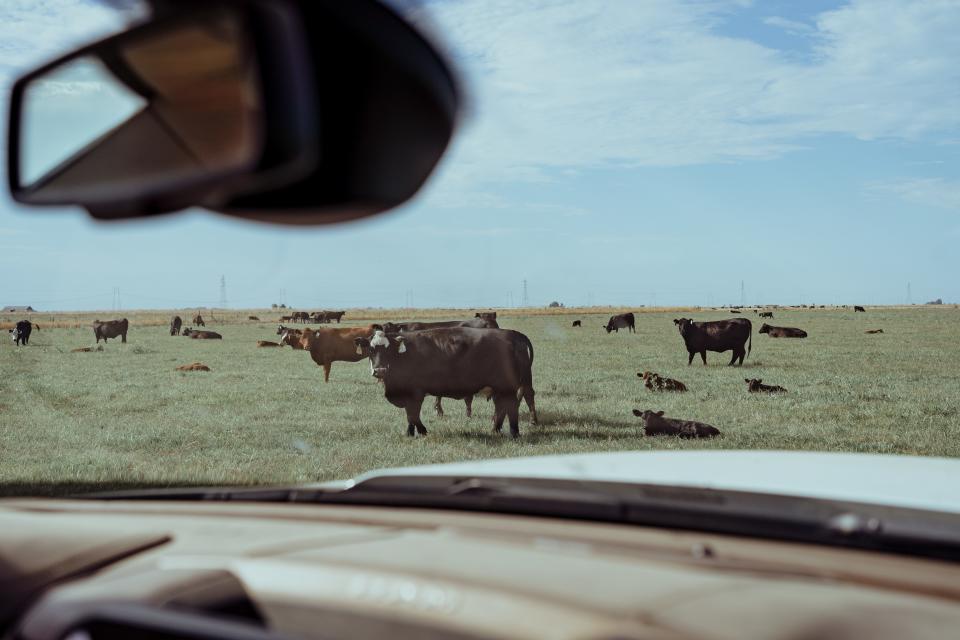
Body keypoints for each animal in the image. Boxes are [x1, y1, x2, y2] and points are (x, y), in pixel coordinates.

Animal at [356, 328, 540, 438]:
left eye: (389, 349)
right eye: (371, 349)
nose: (380, 370)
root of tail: (513, 334)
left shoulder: (416, 392)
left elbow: (413, 414)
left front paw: (422, 431)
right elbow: (409, 415)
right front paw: (409, 433)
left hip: (508, 387)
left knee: (512, 405)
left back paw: (514, 433)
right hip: (499, 388)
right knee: (502, 406)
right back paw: (495, 429)